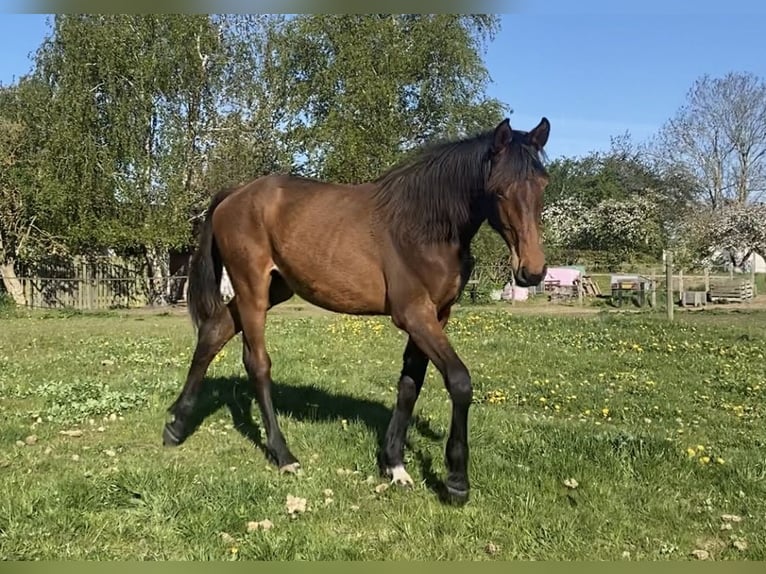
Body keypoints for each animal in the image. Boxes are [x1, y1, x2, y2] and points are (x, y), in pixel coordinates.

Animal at [163, 116, 551, 504]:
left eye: (543, 185)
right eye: (498, 189)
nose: (532, 271)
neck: (423, 227)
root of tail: (234, 193)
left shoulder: (436, 315)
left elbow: (410, 384)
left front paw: (394, 464)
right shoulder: (415, 314)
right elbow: (459, 381)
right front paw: (456, 481)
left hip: (276, 288)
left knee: (213, 333)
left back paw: (176, 426)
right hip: (252, 290)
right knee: (256, 363)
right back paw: (283, 454)